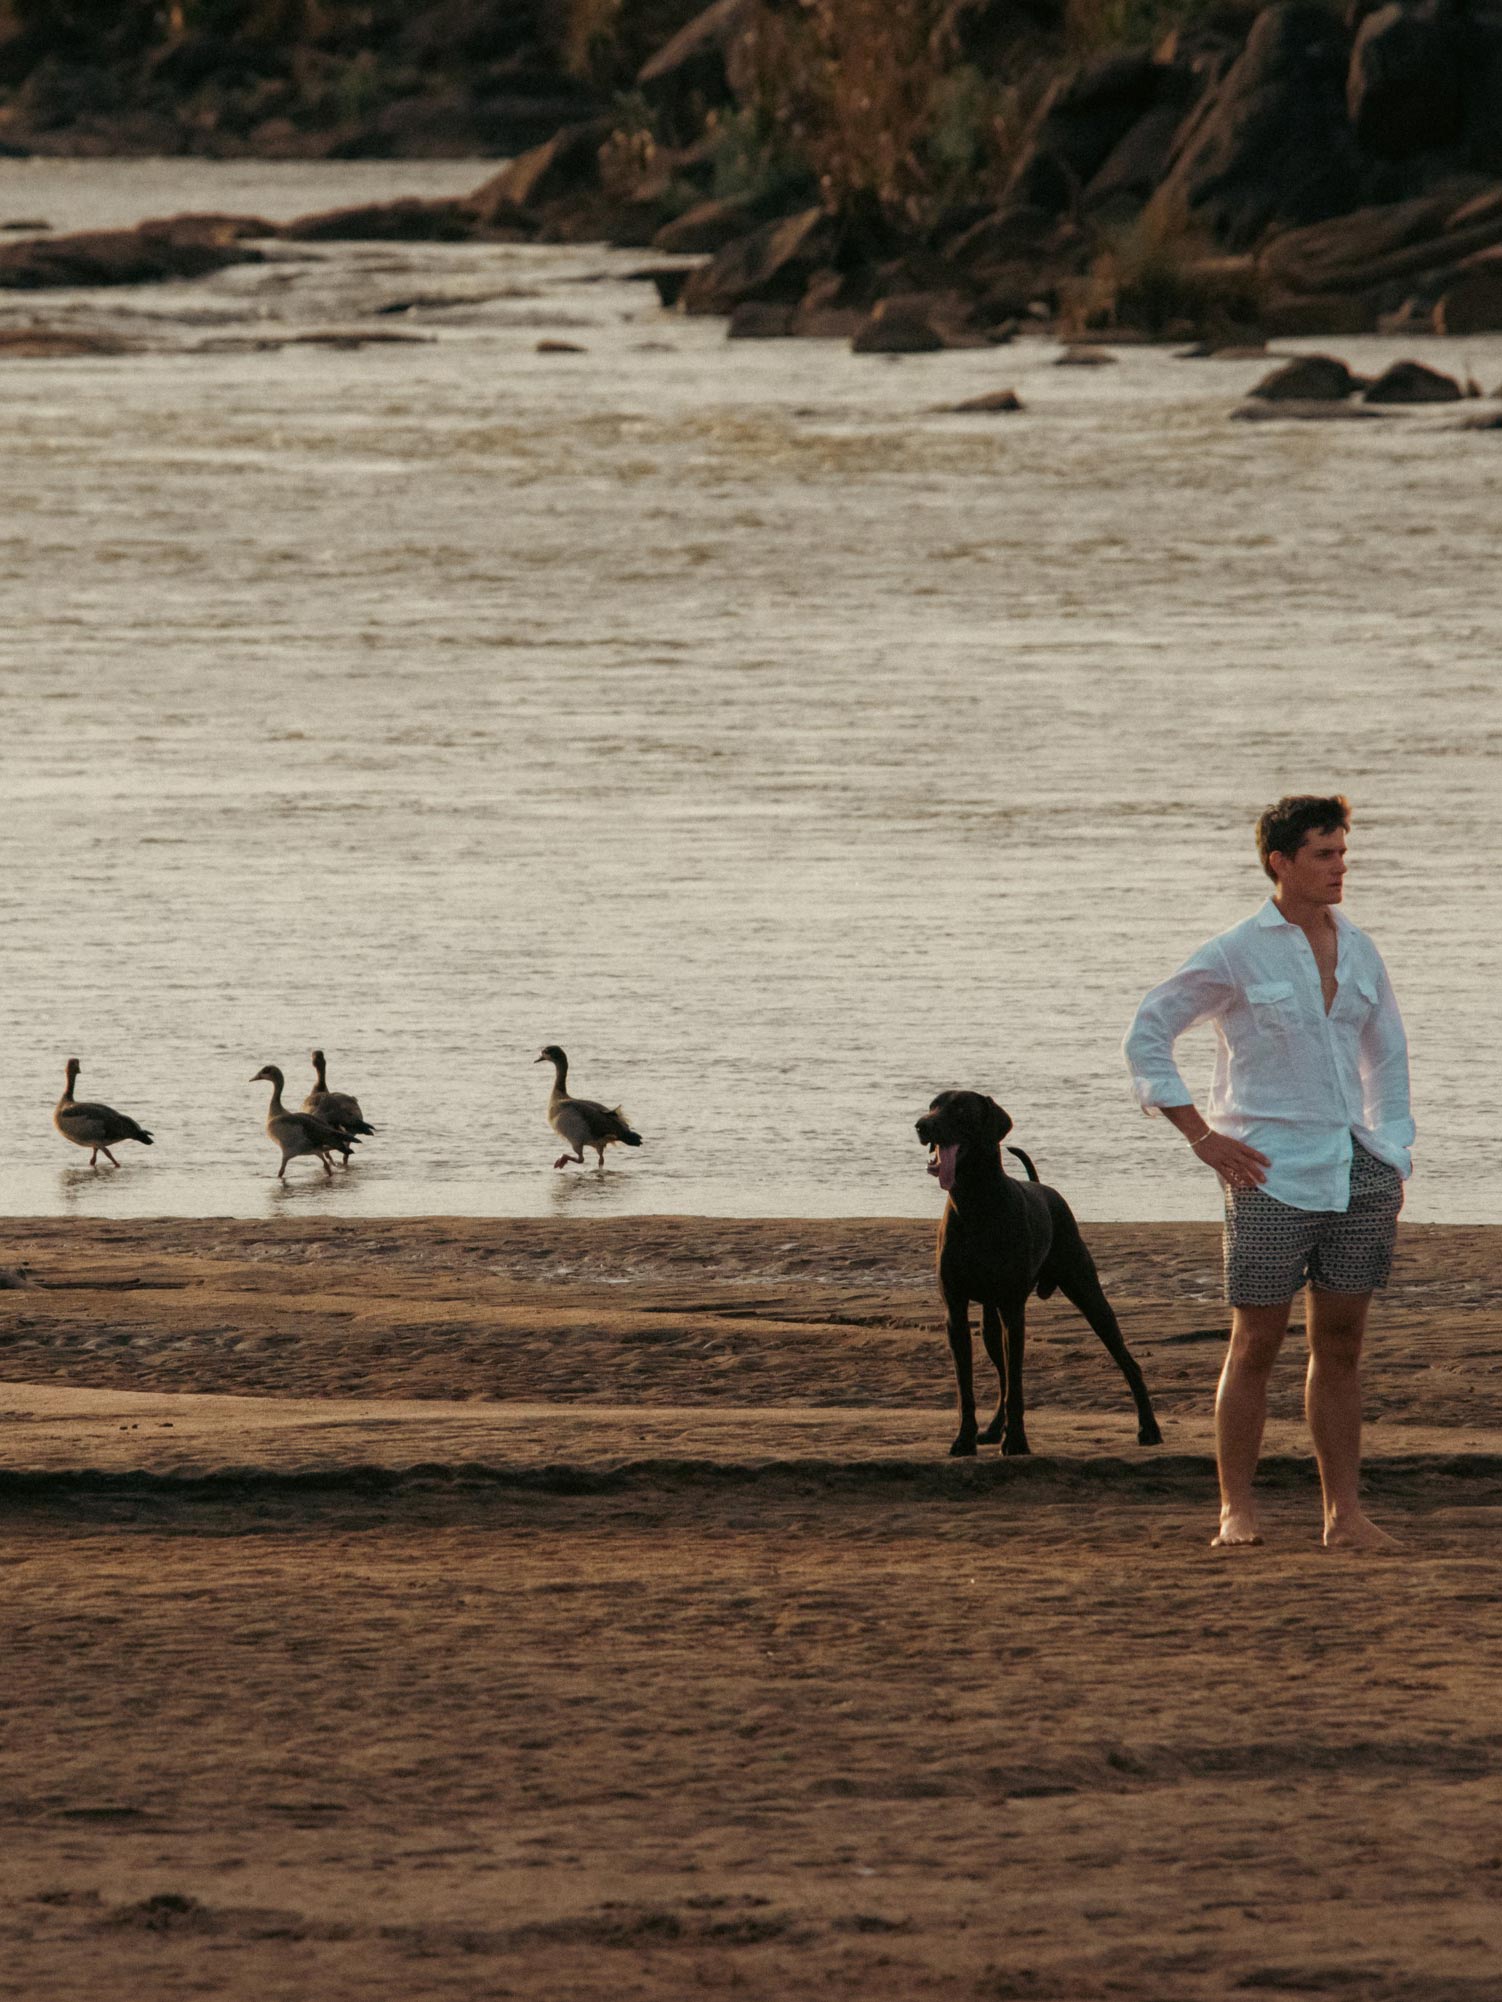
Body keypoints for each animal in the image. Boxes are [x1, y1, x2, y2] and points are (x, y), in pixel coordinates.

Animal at [917, 1089, 1161, 1465]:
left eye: (959, 1108)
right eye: (933, 1105)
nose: (921, 1125)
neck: (975, 1201)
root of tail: (1041, 1186)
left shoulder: (1013, 1310)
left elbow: (1017, 1385)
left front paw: (1016, 1442)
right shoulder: (955, 1312)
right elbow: (967, 1387)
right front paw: (964, 1440)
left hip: (1086, 1288)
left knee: (1127, 1360)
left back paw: (1149, 1428)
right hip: (991, 1321)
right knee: (1001, 1374)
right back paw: (992, 1429)